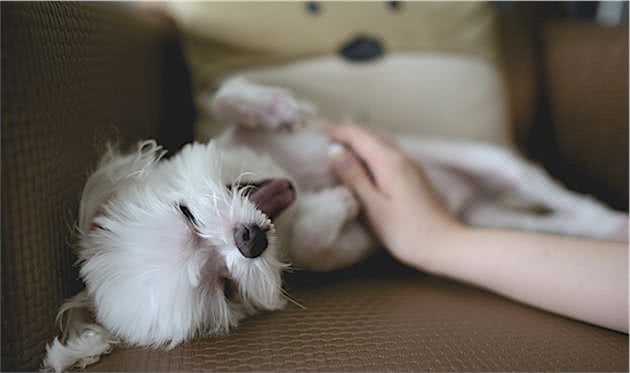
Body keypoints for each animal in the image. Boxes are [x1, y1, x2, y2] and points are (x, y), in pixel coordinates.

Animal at [43, 77, 628, 370]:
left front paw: (274, 108)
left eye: (185, 215)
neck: (285, 178)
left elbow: (227, 95)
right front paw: (340, 202)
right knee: (554, 221)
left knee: (541, 187)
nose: (248, 239)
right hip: (487, 218)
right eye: (225, 286)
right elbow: (323, 240)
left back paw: (608, 217)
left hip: (488, 161)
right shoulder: (332, 247)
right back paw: (607, 228)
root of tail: (468, 199)